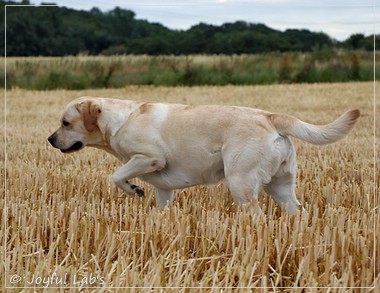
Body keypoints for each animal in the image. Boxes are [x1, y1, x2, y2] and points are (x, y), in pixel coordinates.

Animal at [47, 97, 360, 213]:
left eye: (65, 123)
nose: (50, 139)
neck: (120, 121)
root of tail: (270, 116)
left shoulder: (150, 157)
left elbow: (117, 175)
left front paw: (133, 189)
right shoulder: (163, 187)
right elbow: (161, 204)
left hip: (241, 182)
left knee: (256, 214)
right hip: (281, 185)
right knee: (297, 210)